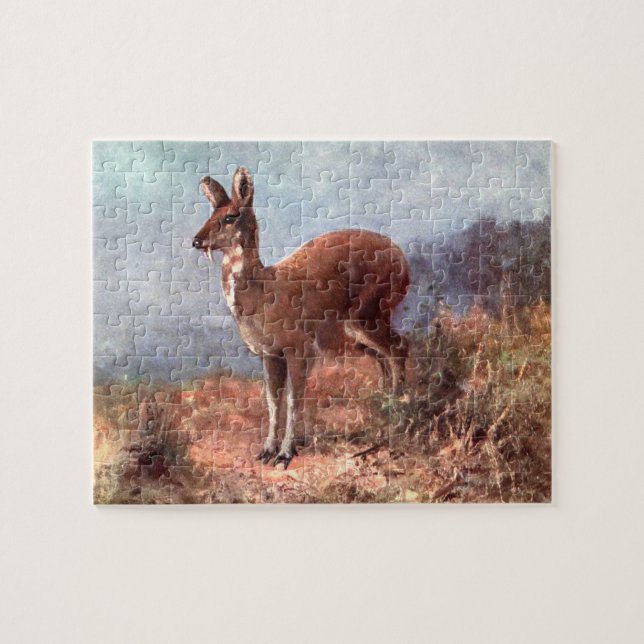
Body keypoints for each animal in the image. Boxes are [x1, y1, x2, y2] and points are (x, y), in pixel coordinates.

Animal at [192, 167, 409, 468]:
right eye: (211, 213)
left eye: (231, 216)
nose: (196, 241)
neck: (263, 294)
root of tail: (403, 262)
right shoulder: (269, 354)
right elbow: (273, 401)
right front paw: (266, 451)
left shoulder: (299, 348)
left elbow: (294, 399)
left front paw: (285, 454)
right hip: (356, 333)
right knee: (384, 357)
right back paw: (380, 408)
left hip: (369, 314)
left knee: (399, 347)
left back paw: (396, 415)